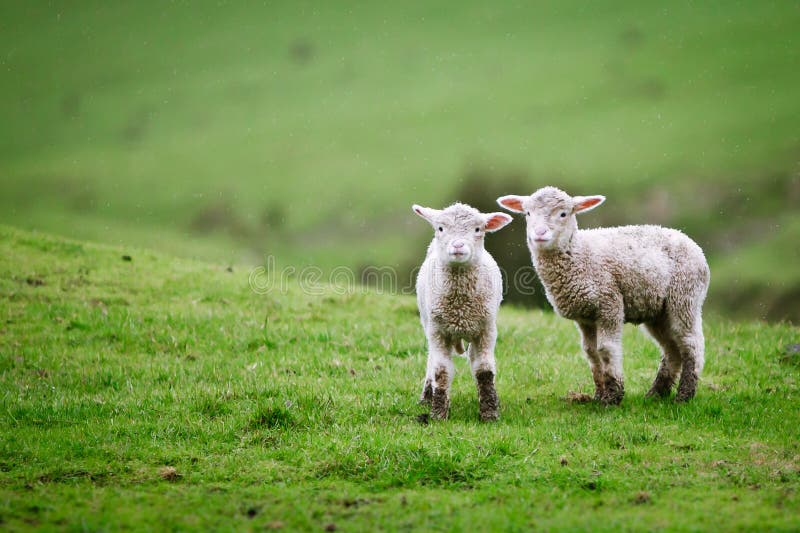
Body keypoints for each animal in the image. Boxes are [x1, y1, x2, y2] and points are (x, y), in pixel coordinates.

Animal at [412, 202, 512, 421]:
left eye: (478, 229)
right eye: (441, 228)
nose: (458, 246)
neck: (460, 307)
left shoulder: (486, 330)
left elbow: (484, 370)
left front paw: (489, 413)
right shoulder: (438, 331)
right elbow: (441, 372)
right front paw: (438, 413)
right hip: (428, 322)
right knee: (431, 360)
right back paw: (427, 396)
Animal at [497, 187, 710, 404]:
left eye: (563, 214)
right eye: (528, 213)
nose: (539, 234)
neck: (578, 254)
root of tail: (690, 241)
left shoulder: (609, 303)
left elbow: (606, 349)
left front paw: (613, 397)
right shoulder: (585, 317)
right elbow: (591, 352)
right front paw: (599, 395)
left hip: (684, 296)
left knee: (691, 343)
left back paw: (684, 395)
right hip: (658, 311)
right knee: (671, 349)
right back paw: (656, 393)